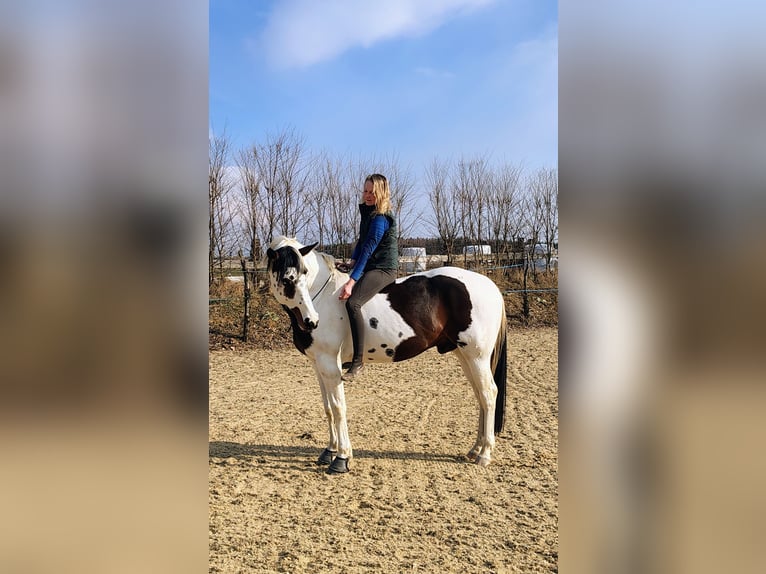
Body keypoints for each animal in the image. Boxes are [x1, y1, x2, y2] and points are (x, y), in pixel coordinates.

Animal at [265, 236, 507, 474]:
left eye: (303, 274)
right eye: (287, 279)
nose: (311, 321)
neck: (323, 296)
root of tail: (489, 286)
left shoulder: (331, 365)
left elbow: (338, 407)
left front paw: (342, 458)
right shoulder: (319, 365)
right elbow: (327, 408)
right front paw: (329, 451)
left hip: (477, 357)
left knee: (488, 394)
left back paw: (485, 453)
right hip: (464, 355)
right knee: (480, 395)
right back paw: (475, 449)